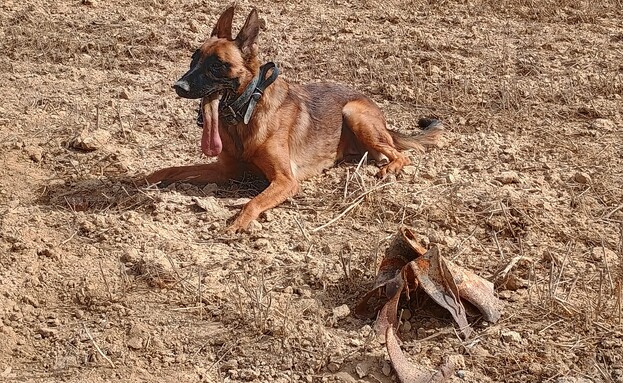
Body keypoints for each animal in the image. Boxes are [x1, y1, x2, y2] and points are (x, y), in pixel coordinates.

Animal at [146, 6, 444, 232]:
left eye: (217, 66)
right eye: (193, 59)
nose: (178, 86)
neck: (246, 114)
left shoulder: (285, 180)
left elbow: (253, 201)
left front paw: (238, 222)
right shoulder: (224, 170)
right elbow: (174, 169)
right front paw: (147, 178)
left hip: (354, 114)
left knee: (400, 154)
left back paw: (389, 168)